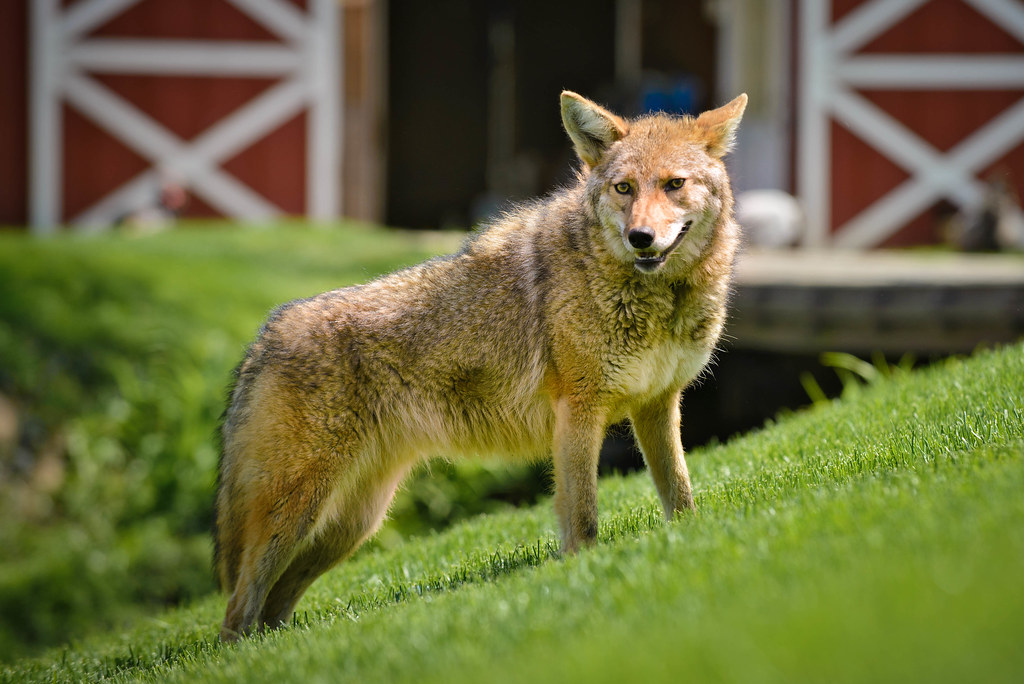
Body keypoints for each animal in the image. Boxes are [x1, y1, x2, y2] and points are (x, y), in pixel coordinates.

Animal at [214, 90, 747, 641]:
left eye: (673, 184)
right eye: (624, 188)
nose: (641, 237)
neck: (656, 299)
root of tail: (263, 336)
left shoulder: (657, 405)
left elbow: (680, 493)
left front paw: (691, 538)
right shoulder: (579, 412)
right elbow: (582, 517)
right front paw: (584, 572)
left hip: (351, 526)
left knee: (270, 609)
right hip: (296, 516)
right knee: (236, 612)